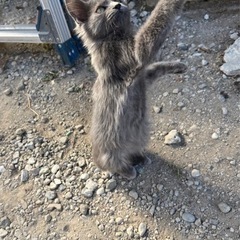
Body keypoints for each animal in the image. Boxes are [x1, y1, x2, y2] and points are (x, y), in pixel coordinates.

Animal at [66, 0, 188, 179]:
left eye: (116, 0)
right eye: (100, 8)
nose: (117, 5)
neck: (117, 36)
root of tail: (97, 160)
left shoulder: (142, 77)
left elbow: (157, 66)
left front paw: (179, 66)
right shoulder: (136, 54)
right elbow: (156, 20)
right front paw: (170, 2)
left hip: (140, 136)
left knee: (134, 151)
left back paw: (141, 158)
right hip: (112, 154)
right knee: (117, 165)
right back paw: (129, 171)